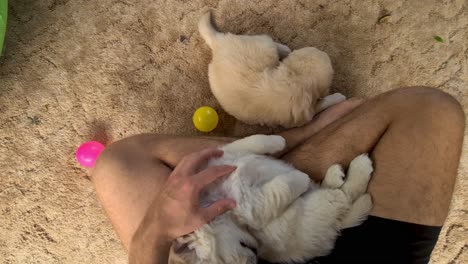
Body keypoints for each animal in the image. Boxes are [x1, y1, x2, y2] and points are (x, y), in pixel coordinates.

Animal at [171, 135, 372, 262]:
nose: (256, 255)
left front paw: (278, 141)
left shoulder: (222, 156)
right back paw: (359, 167)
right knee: (344, 195)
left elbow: (251, 141)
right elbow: (282, 187)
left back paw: (335, 174)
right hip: (319, 207)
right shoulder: (251, 205)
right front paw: (301, 177)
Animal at [199, 12, 346, 128]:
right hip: (264, 45)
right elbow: (324, 103)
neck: (299, 78)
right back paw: (285, 48)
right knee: (271, 42)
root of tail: (218, 42)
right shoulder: (308, 112)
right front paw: (339, 97)